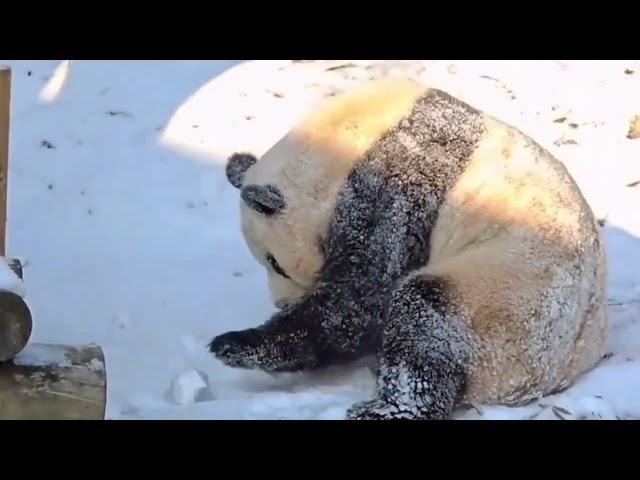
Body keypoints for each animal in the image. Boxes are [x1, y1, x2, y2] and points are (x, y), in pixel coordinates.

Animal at [210, 77, 608, 418]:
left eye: (275, 263)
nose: (281, 302)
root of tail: (562, 371)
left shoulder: (393, 189)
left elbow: (356, 306)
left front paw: (234, 345)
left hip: (509, 300)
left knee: (424, 317)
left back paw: (386, 409)